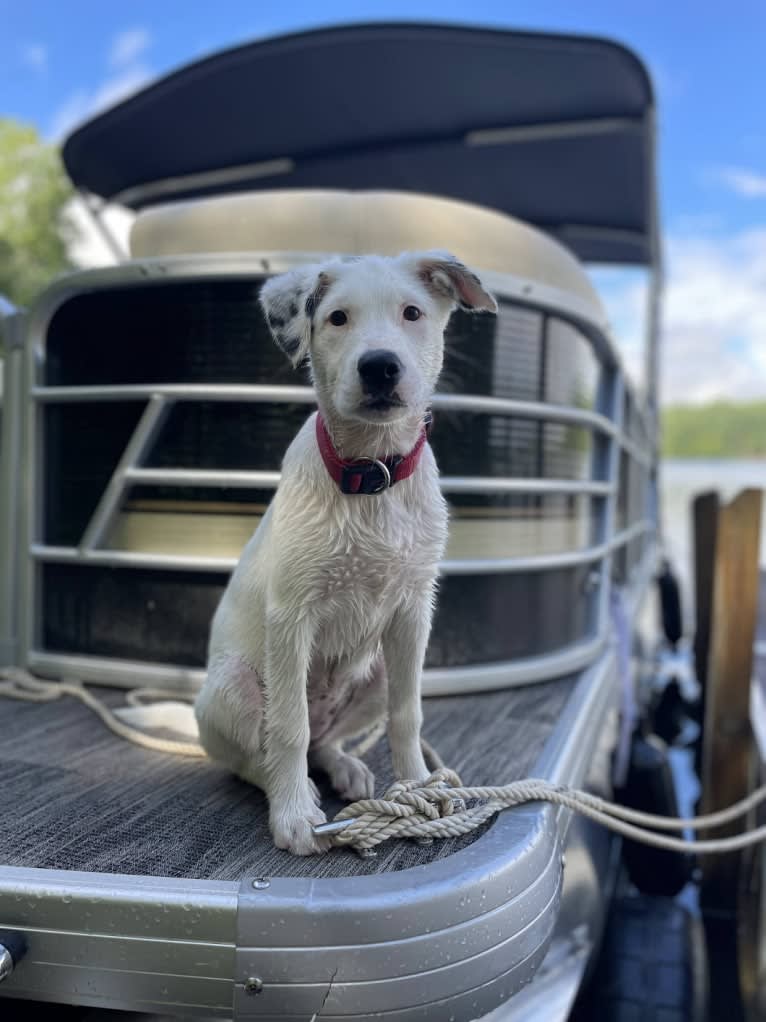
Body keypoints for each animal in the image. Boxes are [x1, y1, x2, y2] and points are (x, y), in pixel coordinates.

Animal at [195, 249, 500, 854]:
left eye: (412, 313)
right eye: (337, 318)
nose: (379, 367)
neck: (371, 475)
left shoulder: (413, 612)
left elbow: (408, 715)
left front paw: (418, 791)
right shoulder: (291, 616)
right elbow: (288, 728)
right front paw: (293, 815)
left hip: (375, 671)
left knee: (324, 741)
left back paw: (345, 768)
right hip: (232, 684)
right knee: (261, 754)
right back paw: (293, 789)